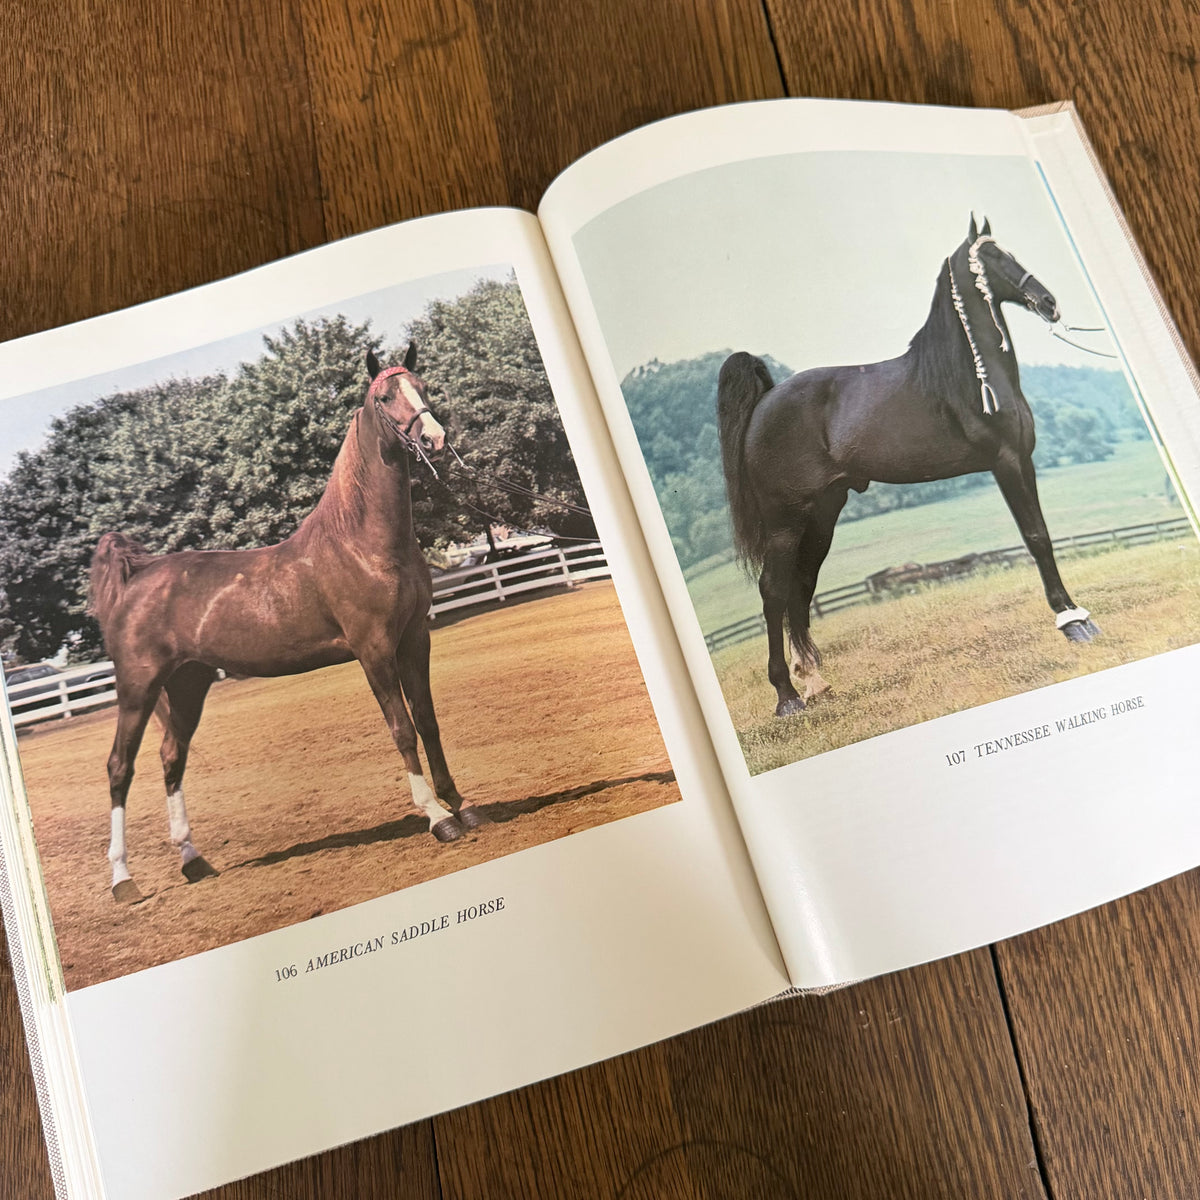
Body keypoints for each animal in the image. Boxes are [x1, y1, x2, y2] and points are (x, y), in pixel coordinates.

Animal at [88, 344, 487, 903]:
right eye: (385, 397)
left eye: (423, 387)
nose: (434, 437)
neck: (362, 541)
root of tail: (137, 577)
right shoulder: (374, 650)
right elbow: (402, 728)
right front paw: (435, 815)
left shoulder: (414, 640)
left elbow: (428, 721)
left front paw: (461, 803)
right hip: (138, 687)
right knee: (119, 767)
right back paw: (124, 880)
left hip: (187, 684)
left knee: (171, 757)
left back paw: (193, 860)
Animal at [717, 216, 1100, 719]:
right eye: (991, 258)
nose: (1049, 303)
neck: (967, 377)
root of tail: (764, 401)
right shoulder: (1007, 462)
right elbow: (1036, 538)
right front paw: (1071, 620)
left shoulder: (1024, 460)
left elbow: (1044, 536)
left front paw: (1076, 614)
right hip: (785, 523)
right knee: (773, 591)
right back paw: (787, 697)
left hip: (821, 517)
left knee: (800, 589)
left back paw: (815, 682)